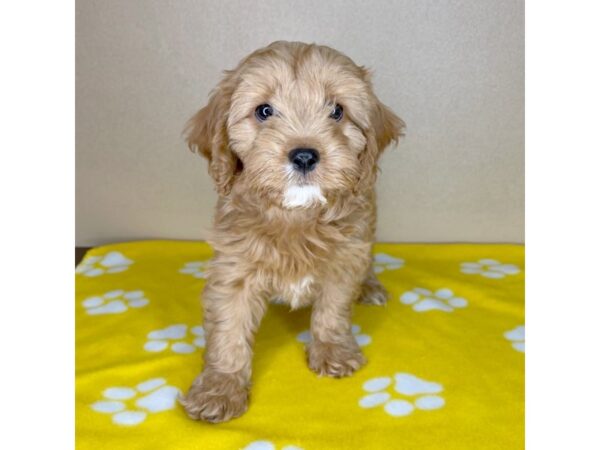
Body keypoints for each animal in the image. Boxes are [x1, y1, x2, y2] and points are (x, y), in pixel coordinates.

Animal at [180, 41, 406, 422]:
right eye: (264, 111)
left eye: (337, 111)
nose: (303, 156)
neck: (296, 215)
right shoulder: (234, 267)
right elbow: (229, 329)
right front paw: (220, 388)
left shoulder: (344, 256)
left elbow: (333, 308)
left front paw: (332, 350)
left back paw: (370, 286)